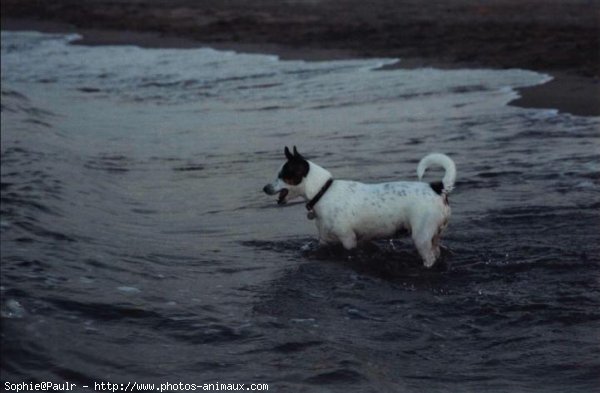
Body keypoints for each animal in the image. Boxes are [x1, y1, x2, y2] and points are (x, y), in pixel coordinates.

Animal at [262, 145, 454, 268]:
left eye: (282, 175)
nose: (265, 188)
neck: (323, 191)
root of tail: (438, 188)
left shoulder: (348, 239)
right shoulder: (325, 239)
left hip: (421, 238)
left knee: (429, 258)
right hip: (434, 237)